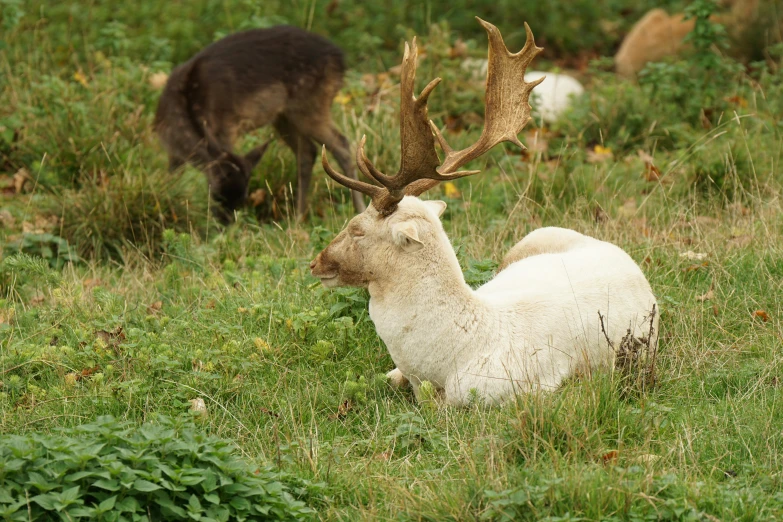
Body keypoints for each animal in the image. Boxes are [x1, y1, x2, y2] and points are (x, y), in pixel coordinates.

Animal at [153, 25, 368, 220]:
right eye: (216, 195)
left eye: (243, 197)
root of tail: (340, 59)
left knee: (341, 144)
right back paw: (297, 218)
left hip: (311, 105)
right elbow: (171, 179)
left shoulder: (227, 129)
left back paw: (359, 210)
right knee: (307, 151)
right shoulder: (172, 150)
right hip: (284, 116)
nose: (226, 226)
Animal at [310, 18, 660, 404]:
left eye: (357, 228)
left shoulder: (528, 392)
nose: (316, 263)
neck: (446, 363)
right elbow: (387, 378)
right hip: (531, 238)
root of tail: (623, 254)